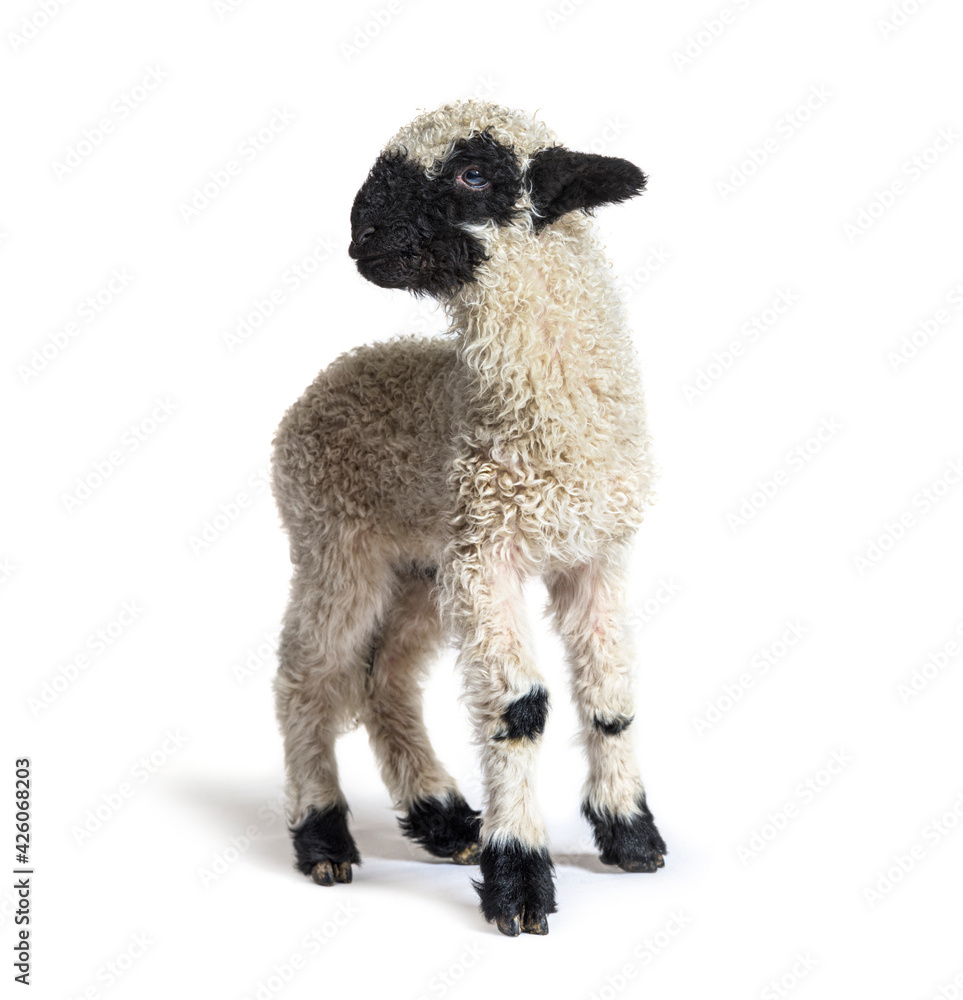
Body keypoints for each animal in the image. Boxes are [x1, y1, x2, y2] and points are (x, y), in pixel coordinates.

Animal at [271, 99, 666, 936]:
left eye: (473, 174)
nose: (363, 238)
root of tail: (331, 374)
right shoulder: (491, 554)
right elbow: (519, 709)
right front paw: (519, 879)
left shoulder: (596, 553)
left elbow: (610, 694)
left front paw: (631, 835)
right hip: (332, 542)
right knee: (308, 674)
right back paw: (322, 836)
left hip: (421, 566)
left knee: (383, 678)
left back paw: (443, 817)